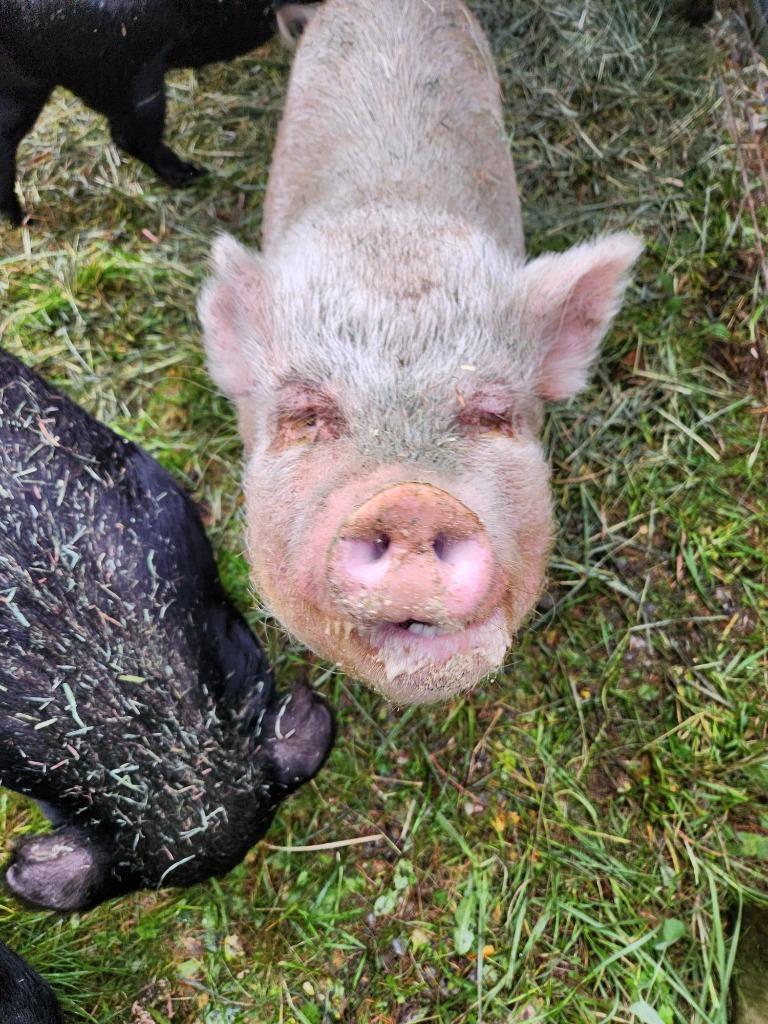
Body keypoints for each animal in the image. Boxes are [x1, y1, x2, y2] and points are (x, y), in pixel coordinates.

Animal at [0, 0, 316, 225]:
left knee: (6, 143)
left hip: (24, 87)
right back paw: (192, 174)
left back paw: (23, 219)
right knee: (129, 137)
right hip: (135, 74)